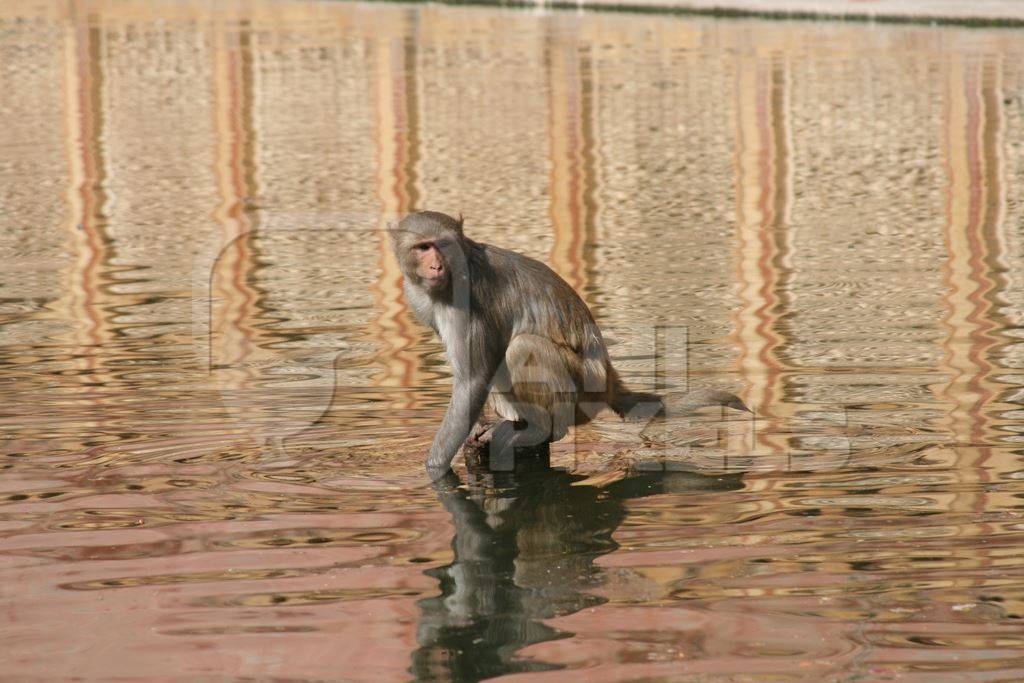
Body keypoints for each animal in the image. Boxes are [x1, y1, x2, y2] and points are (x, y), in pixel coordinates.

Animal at [387, 210, 749, 479]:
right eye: (423, 247)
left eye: (443, 244)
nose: (436, 264)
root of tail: (608, 379)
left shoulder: (465, 300)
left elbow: (472, 381)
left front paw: (434, 469)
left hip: (582, 393)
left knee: (521, 347)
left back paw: (545, 429)